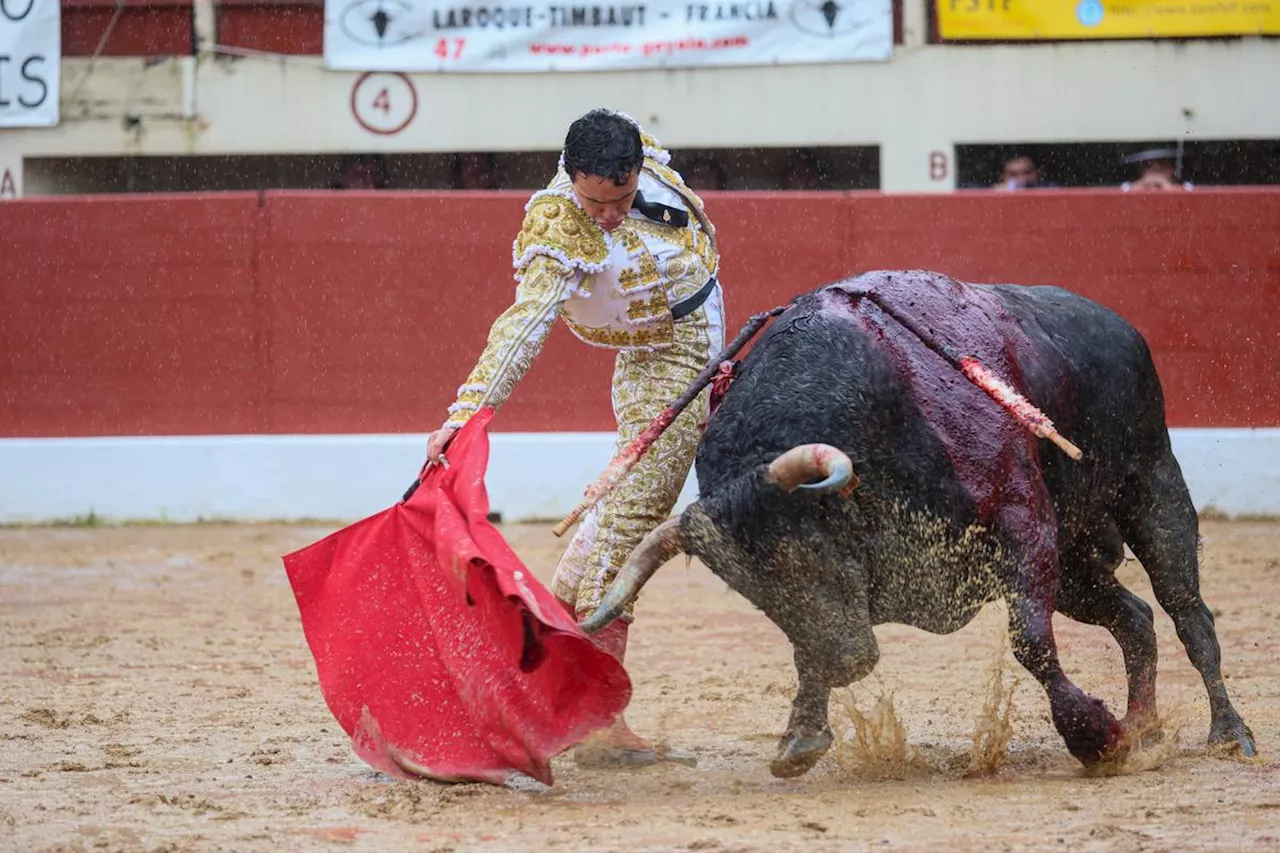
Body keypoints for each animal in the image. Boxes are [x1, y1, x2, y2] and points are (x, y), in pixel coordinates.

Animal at [583, 270, 1259, 778]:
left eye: (811, 551)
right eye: (755, 593)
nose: (849, 662)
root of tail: (1120, 325)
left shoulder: (1025, 528)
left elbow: (1030, 643)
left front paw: (1096, 739)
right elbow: (807, 647)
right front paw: (801, 736)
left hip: (1152, 487)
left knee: (1187, 613)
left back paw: (1228, 734)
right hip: (1073, 570)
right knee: (1136, 619)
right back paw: (1144, 730)